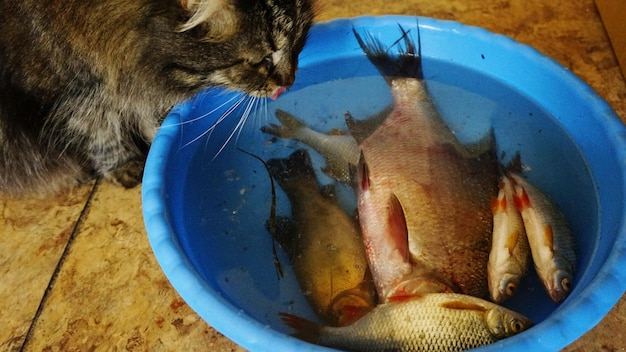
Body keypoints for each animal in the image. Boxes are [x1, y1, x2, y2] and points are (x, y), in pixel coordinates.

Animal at [0, 0, 312, 195]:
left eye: (300, 39)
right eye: (263, 60)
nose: (288, 82)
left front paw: (158, 134)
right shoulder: (69, 86)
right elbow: (95, 128)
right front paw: (124, 164)